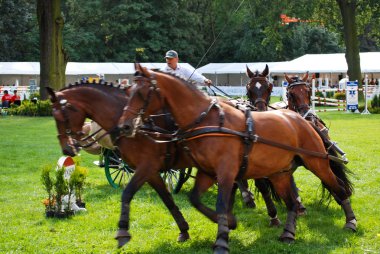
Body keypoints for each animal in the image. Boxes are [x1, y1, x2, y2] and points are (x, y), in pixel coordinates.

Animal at [119, 64, 356, 254]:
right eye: (129, 91)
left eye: (142, 93)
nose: (125, 125)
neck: (208, 121)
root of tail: (301, 119)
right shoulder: (208, 173)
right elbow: (196, 200)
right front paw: (230, 223)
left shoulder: (226, 172)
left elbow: (222, 203)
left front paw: (222, 240)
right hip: (279, 172)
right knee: (290, 201)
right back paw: (288, 231)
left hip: (316, 162)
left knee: (338, 186)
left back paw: (350, 221)